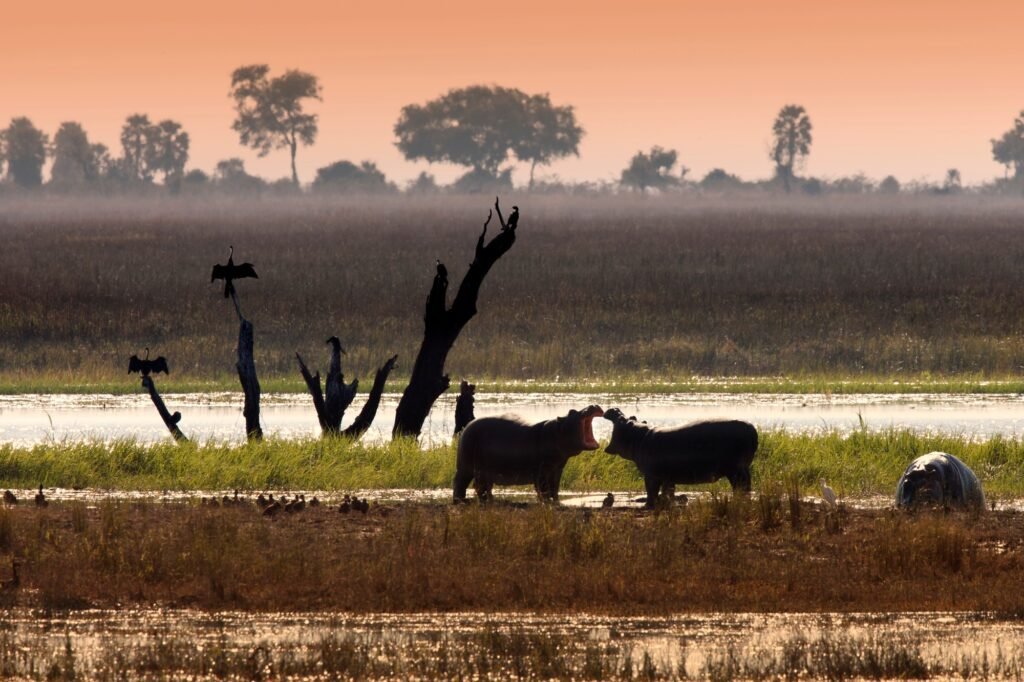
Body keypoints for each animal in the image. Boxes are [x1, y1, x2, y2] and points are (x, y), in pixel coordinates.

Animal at [452, 403, 602, 499]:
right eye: (571, 411)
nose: (592, 405)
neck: (557, 432)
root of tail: (467, 426)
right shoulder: (542, 471)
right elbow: (544, 489)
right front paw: (547, 503)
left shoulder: (557, 469)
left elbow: (555, 489)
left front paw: (556, 502)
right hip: (466, 467)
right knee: (461, 483)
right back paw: (460, 501)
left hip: (484, 471)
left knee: (482, 487)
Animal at [598, 403, 761, 503]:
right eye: (632, 416)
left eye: (623, 419)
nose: (615, 409)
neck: (637, 436)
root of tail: (752, 429)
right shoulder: (668, 476)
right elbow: (668, 491)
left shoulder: (651, 475)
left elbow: (651, 491)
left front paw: (649, 505)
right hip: (743, 468)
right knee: (746, 485)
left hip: (735, 470)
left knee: (741, 487)